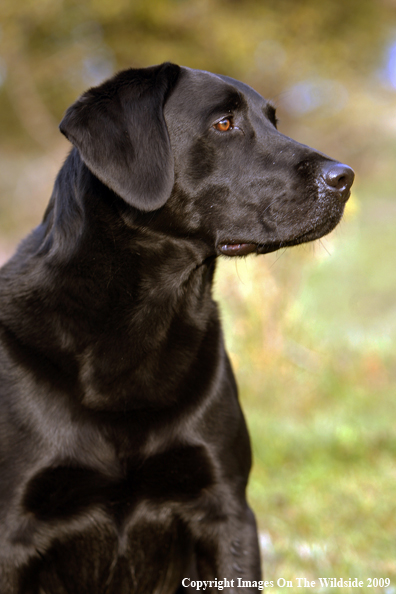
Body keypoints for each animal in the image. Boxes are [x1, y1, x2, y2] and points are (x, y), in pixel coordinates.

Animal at [0, 62, 352, 588]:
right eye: (224, 123)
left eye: (274, 121)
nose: (345, 177)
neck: (142, 321)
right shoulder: (12, 529)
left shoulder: (227, 510)